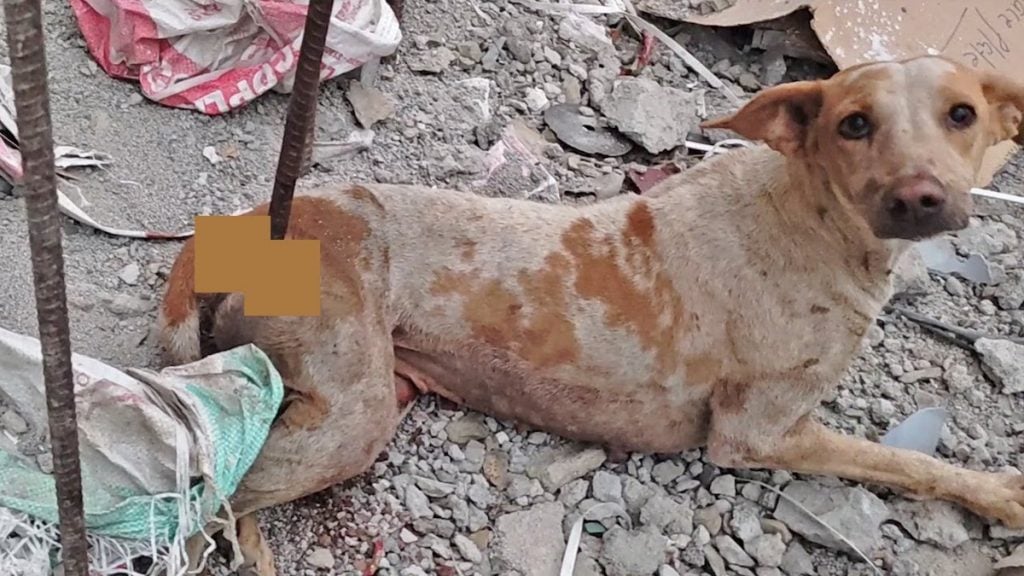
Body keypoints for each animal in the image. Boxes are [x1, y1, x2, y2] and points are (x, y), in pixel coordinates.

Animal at [157, 52, 1024, 569]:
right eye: (854, 124)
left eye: (962, 115)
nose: (922, 197)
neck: (813, 215)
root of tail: (249, 224)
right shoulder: (759, 434)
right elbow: (904, 462)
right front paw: (997, 492)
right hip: (349, 419)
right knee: (211, 505)